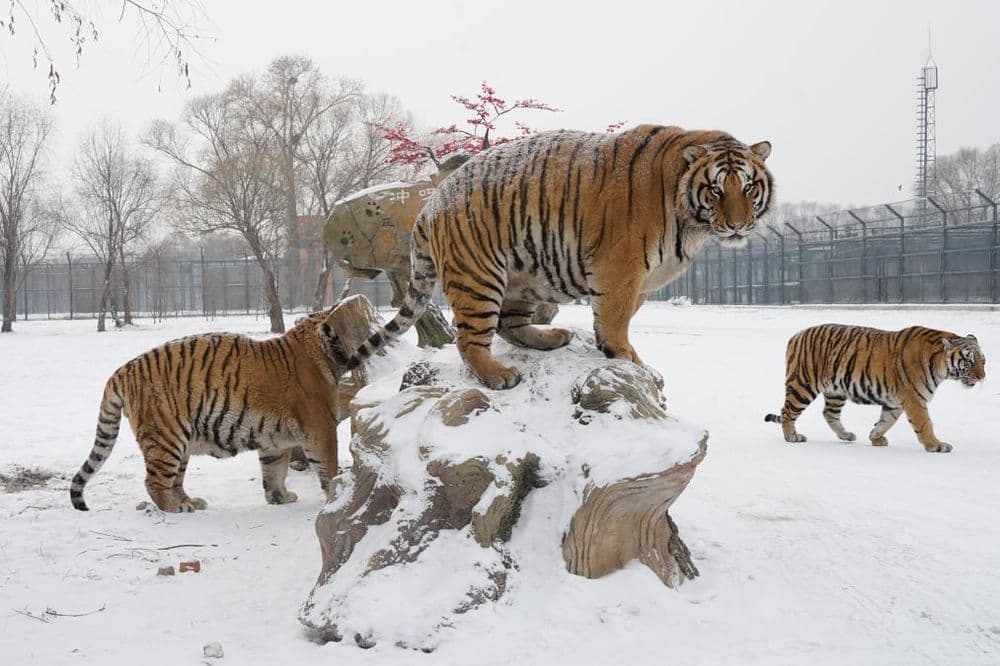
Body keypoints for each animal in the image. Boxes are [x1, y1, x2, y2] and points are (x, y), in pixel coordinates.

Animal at [69, 296, 376, 512]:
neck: (319, 350)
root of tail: (123, 370)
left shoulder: (275, 440)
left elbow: (274, 470)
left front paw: (279, 497)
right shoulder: (319, 426)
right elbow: (328, 464)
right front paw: (335, 492)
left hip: (180, 445)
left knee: (175, 480)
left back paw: (191, 501)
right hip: (166, 437)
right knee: (154, 482)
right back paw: (175, 507)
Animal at [343, 124, 774, 389]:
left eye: (748, 187)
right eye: (716, 189)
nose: (738, 225)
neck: (692, 221)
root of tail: (429, 205)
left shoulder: (640, 283)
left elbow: (616, 317)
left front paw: (609, 348)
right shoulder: (621, 268)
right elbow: (617, 319)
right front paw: (627, 358)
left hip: (522, 277)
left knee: (509, 325)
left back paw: (552, 336)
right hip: (479, 276)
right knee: (468, 338)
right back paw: (498, 375)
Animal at [764, 324, 985, 452]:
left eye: (982, 360)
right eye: (968, 360)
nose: (982, 377)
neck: (940, 365)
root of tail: (796, 335)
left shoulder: (895, 402)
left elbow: (886, 421)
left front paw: (875, 437)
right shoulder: (915, 399)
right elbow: (925, 424)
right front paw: (936, 445)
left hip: (836, 390)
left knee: (829, 413)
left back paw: (846, 435)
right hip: (803, 384)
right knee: (787, 411)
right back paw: (792, 437)